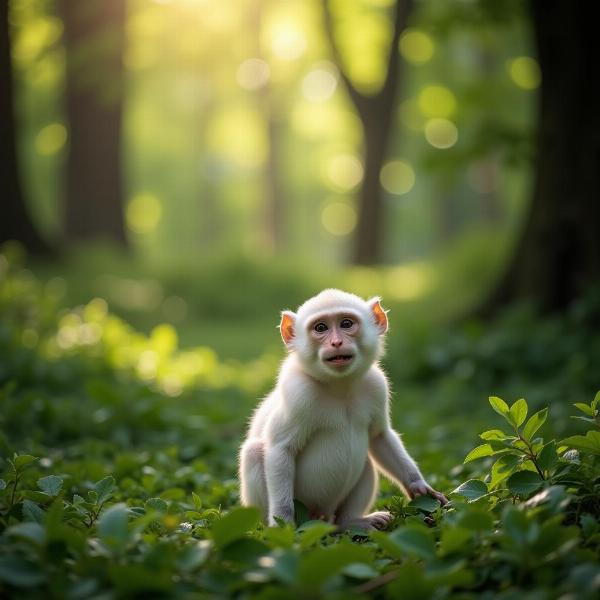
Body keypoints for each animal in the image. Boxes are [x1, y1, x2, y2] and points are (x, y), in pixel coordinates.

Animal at [239, 290, 446, 528]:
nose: (336, 342)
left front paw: (418, 487)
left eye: (346, 323)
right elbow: (281, 449)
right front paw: (284, 524)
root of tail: (322, 517)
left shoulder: (376, 386)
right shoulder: (298, 394)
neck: (340, 386)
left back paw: (351, 523)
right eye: (321, 328)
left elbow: (379, 436)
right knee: (255, 451)